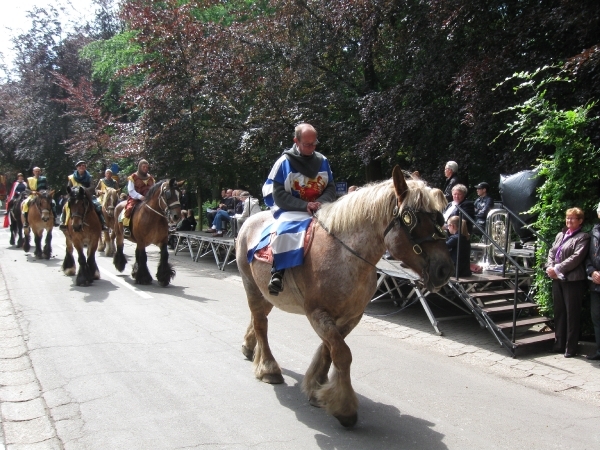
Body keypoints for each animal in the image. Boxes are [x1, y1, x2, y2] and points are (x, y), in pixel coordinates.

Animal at [237, 167, 452, 428]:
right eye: (412, 219)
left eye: (439, 218)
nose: (444, 270)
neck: (345, 255)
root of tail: (250, 221)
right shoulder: (318, 314)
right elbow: (342, 353)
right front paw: (344, 407)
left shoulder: (350, 316)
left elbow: (329, 350)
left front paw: (317, 387)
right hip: (251, 286)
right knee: (261, 324)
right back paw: (268, 368)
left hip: (265, 294)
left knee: (258, 319)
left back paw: (250, 348)